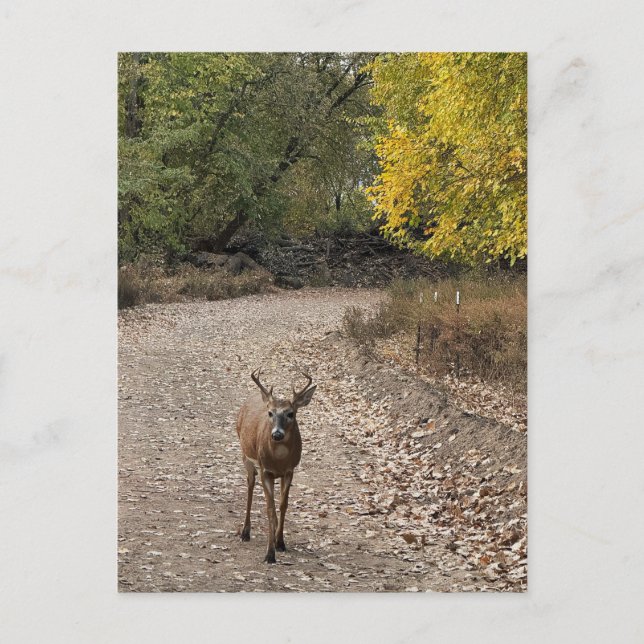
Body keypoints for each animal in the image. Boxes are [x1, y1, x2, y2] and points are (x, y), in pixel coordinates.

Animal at [236, 368, 316, 563]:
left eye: (291, 413)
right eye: (270, 413)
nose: (277, 434)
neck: (279, 459)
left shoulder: (290, 470)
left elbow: (283, 505)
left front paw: (280, 542)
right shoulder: (266, 471)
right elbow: (270, 508)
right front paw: (269, 553)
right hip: (245, 454)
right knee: (250, 484)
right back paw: (245, 532)